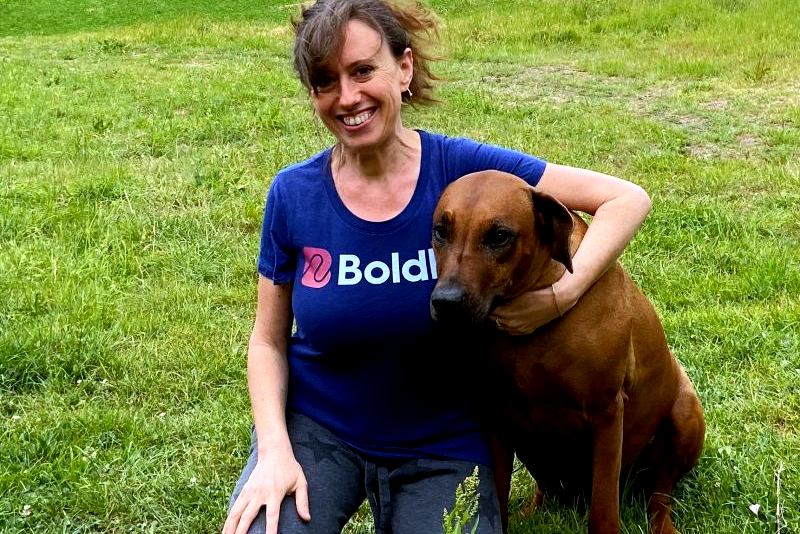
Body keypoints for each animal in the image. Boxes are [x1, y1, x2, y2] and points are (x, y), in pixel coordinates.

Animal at [429, 170, 705, 534]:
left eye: (500, 236)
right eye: (441, 231)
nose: (445, 303)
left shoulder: (606, 413)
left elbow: (603, 510)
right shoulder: (497, 411)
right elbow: (498, 496)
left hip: (685, 413)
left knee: (660, 492)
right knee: (547, 489)